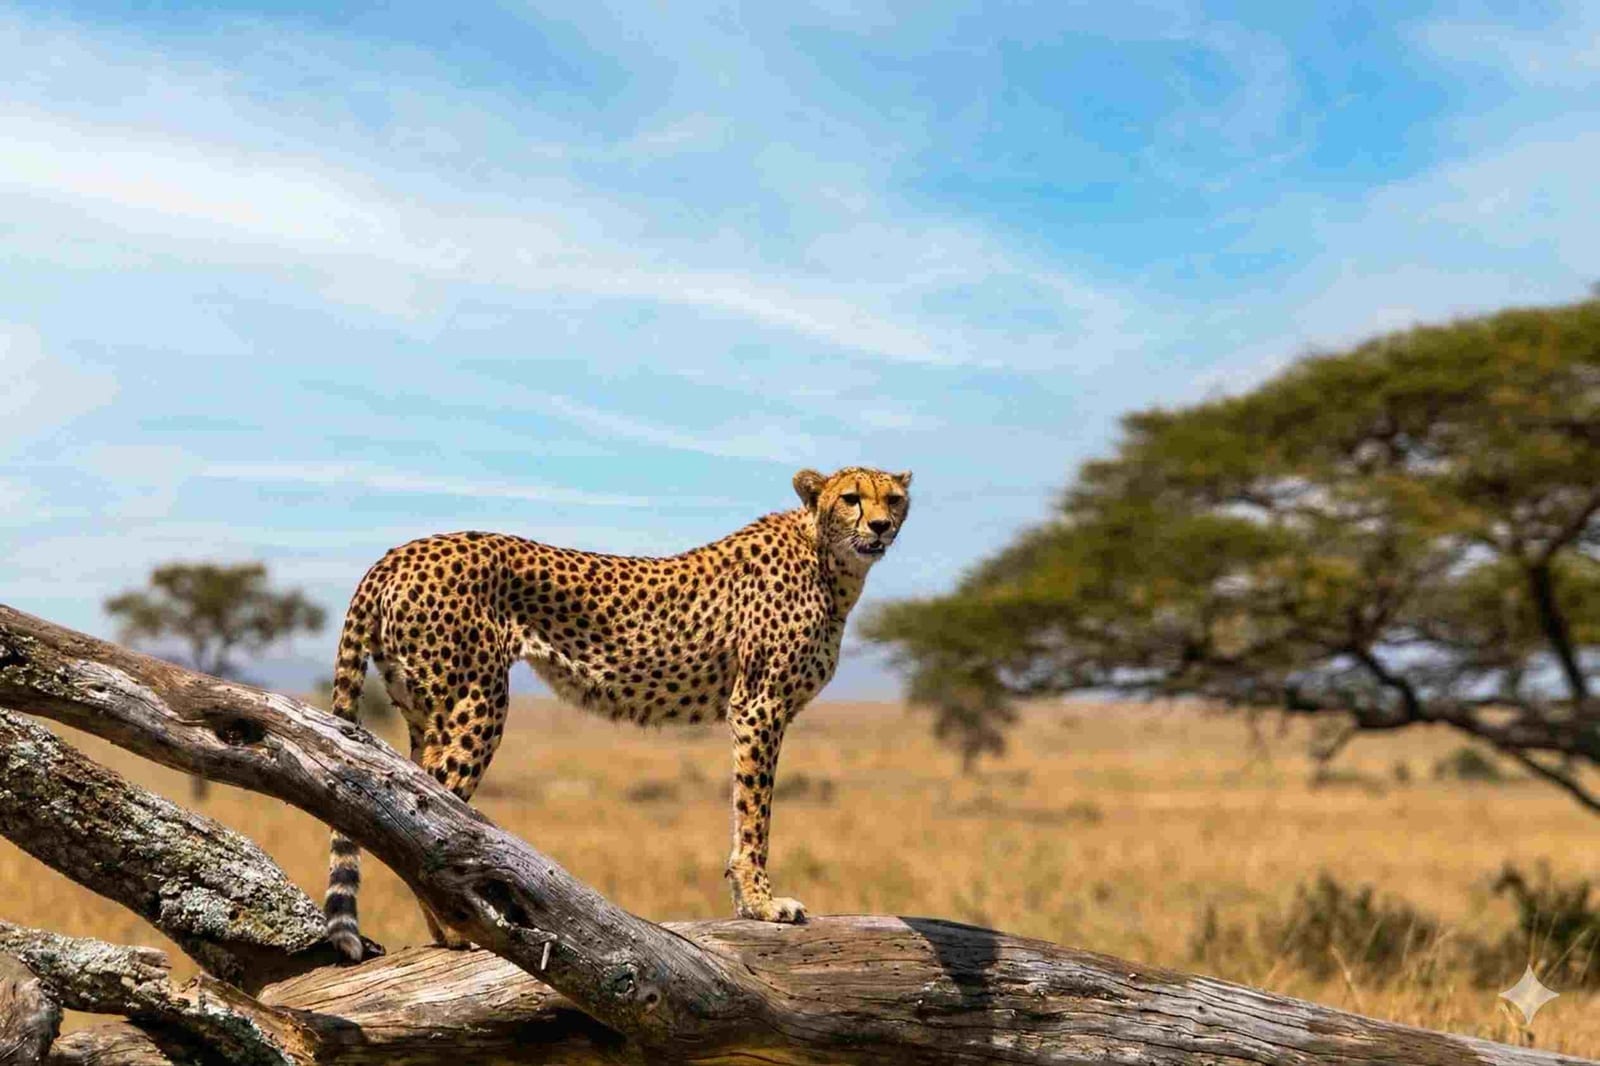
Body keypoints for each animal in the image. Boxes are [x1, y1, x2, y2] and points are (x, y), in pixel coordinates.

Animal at [323, 465, 912, 960]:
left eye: (894, 499)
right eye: (852, 498)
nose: (881, 526)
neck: (830, 560)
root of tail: (401, 551)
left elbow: (746, 811)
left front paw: (749, 904)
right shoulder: (758, 706)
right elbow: (754, 813)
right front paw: (763, 905)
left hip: (425, 712)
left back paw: (445, 931)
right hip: (476, 702)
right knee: (424, 813)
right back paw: (452, 930)